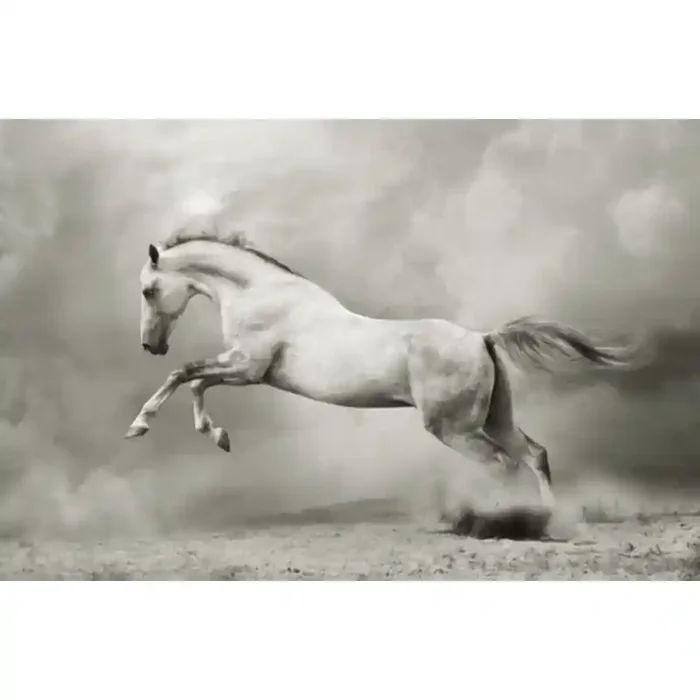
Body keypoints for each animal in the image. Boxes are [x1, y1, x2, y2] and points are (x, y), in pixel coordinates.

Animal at [125, 225, 645, 512]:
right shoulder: (243, 370)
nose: (150, 345)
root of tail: (483, 338)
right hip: (497, 417)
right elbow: (194, 383)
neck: (260, 294)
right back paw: (547, 518)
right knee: (534, 455)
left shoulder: (247, 368)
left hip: (454, 428)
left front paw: (140, 426)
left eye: (149, 290)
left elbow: (184, 375)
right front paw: (219, 436)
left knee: (503, 464)